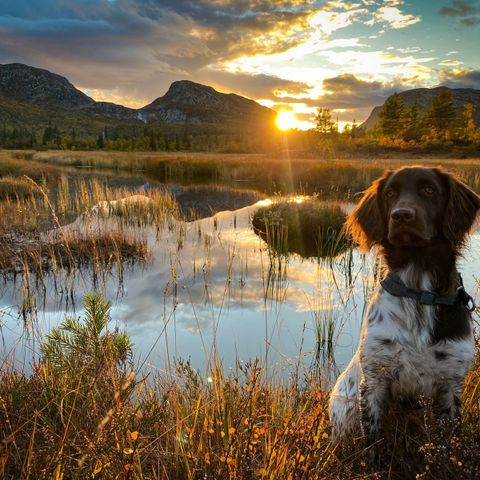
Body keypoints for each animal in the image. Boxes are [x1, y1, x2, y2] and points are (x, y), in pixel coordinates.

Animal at [328, 167, 480, 444]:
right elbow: (373, 445)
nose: (402, 215)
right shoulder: (374, 380)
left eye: (429, 190)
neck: (418, 292)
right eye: (390, 193)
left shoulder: (451, 383)